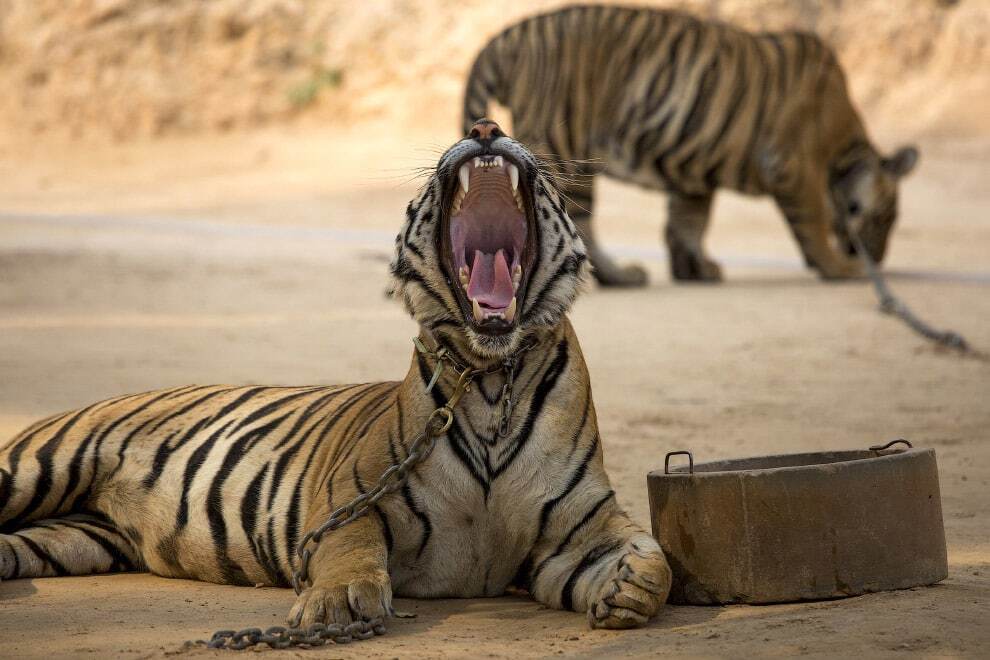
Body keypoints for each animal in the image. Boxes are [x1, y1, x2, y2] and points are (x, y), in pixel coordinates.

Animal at [0, 121, 676, 632]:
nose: (485, 127)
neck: (489, 379)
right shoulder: (353, 494)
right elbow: (352, 546)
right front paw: (339, 603)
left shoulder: (576, 529)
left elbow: (655, 560)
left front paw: (628, 589)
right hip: (38, 468)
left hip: (76, 535)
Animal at [464, 4, 924, 286]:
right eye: (886, 219)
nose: (878, 258)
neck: (845, 150)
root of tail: (510, 35)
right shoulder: (794, 166)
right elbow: (813, 221)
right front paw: (839, 267)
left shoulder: (691, 175)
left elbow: (688, 223)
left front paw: (697, 269)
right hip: (565, 151)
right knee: (576, 225)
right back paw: (619, 278)